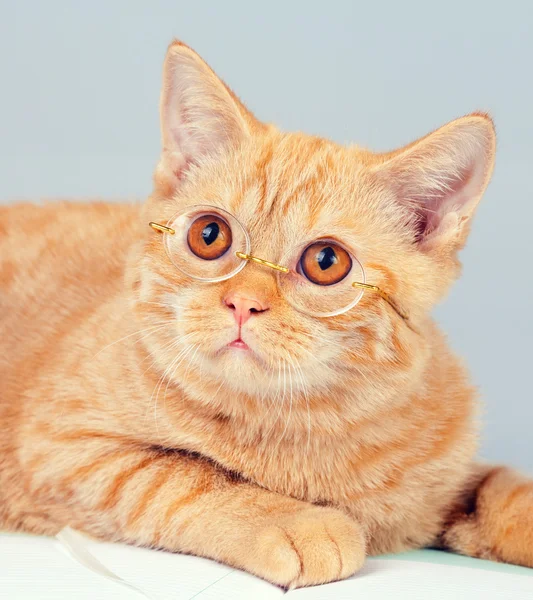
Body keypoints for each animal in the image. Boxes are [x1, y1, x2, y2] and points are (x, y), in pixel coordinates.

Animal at [0, 39, 528, 588]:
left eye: (326, 261)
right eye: (209, 235)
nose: (243, 302)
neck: (304, 424)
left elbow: (503, 486)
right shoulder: (60, 446)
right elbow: (184, 475)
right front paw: (297, 521)